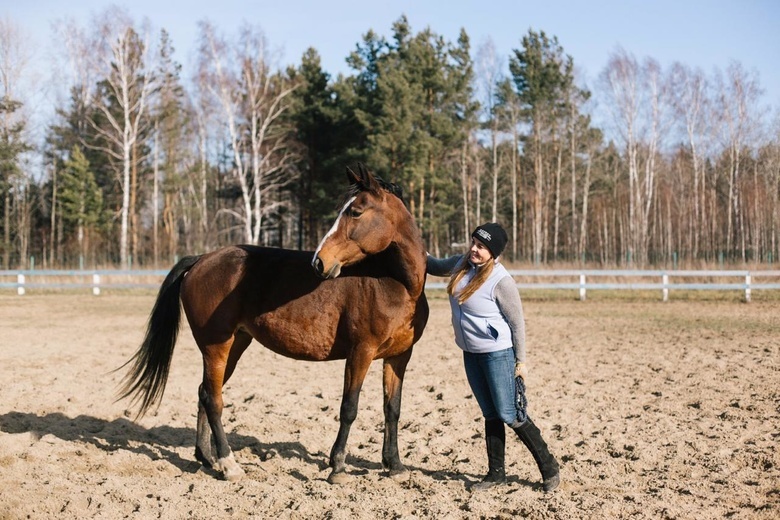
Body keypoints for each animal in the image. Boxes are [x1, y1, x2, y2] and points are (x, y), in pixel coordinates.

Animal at [117, 164, 426, 484]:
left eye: (355, 212)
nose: (319, 262)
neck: (394, 283)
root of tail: (201, 259)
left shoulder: (399, 357)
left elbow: (392, 409)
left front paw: (395, 465)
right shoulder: (360, 353)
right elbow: (349, 408)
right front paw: (338, 467)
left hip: (235, 344)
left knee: (204, 392)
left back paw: (206, 457)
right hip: (216, 346)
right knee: (213, 399)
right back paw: (229, 464)